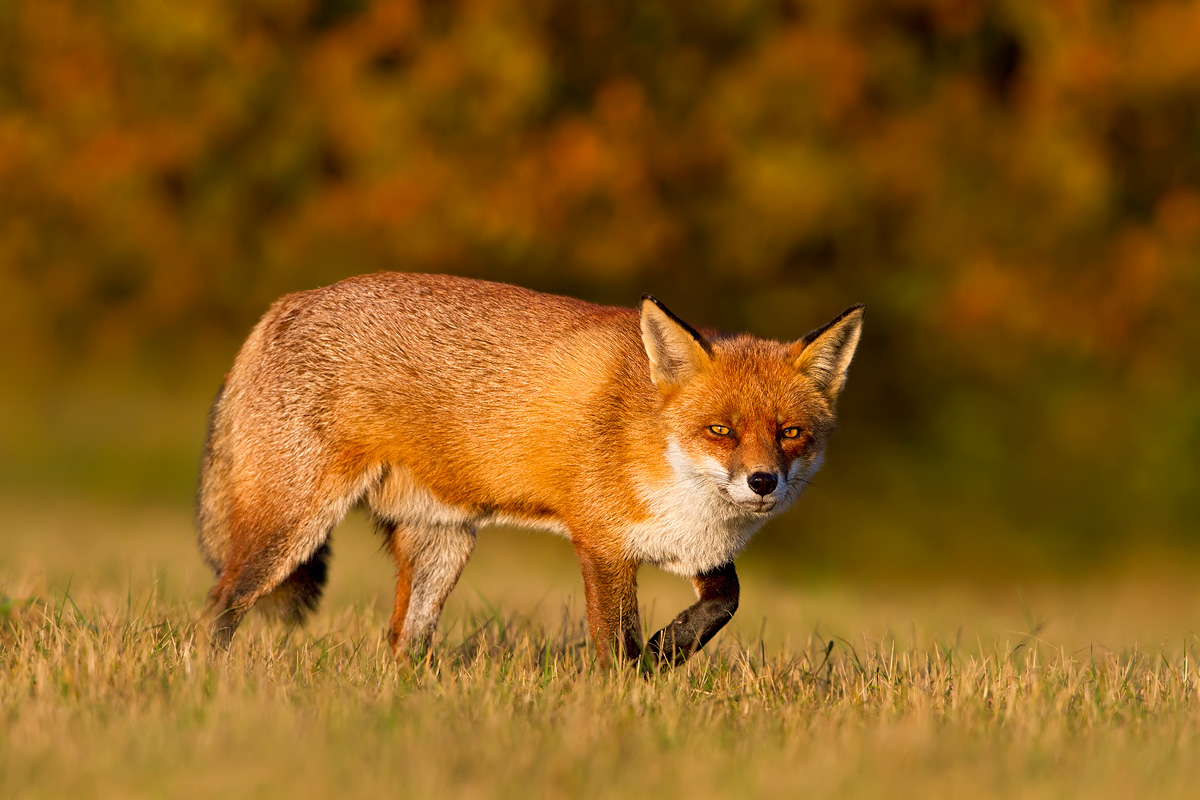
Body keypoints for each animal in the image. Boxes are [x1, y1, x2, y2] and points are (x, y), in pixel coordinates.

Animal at [197, 272, 863, 667]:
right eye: (720, 431)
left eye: (790, 433)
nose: (762, 482)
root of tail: (285, 303)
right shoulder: (602, 545)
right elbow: (616, 643)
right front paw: (629, 694)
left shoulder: (691, 546)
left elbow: (725, 602)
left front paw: (667, 651)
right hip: (290, 528)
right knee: (221, 603)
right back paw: (210, 679)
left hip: (442, 548)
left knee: (401, 641)